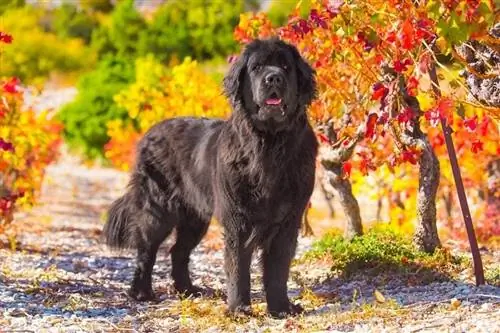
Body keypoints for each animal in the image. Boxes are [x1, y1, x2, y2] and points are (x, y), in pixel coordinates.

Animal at [103, 37, 318, 316]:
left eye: (285, 67)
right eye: (257, 67)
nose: (274, 78)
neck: (268, 145)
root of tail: (150, 132)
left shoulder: (287, 220)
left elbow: (278, 269)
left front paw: (281, 308)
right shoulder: (238, 219)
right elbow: (238, 267)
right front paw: (239, 309)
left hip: (195, 216)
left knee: (178, 251)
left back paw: (187, 290)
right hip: (157, 207)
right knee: (146, 249)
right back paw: (141, 292)